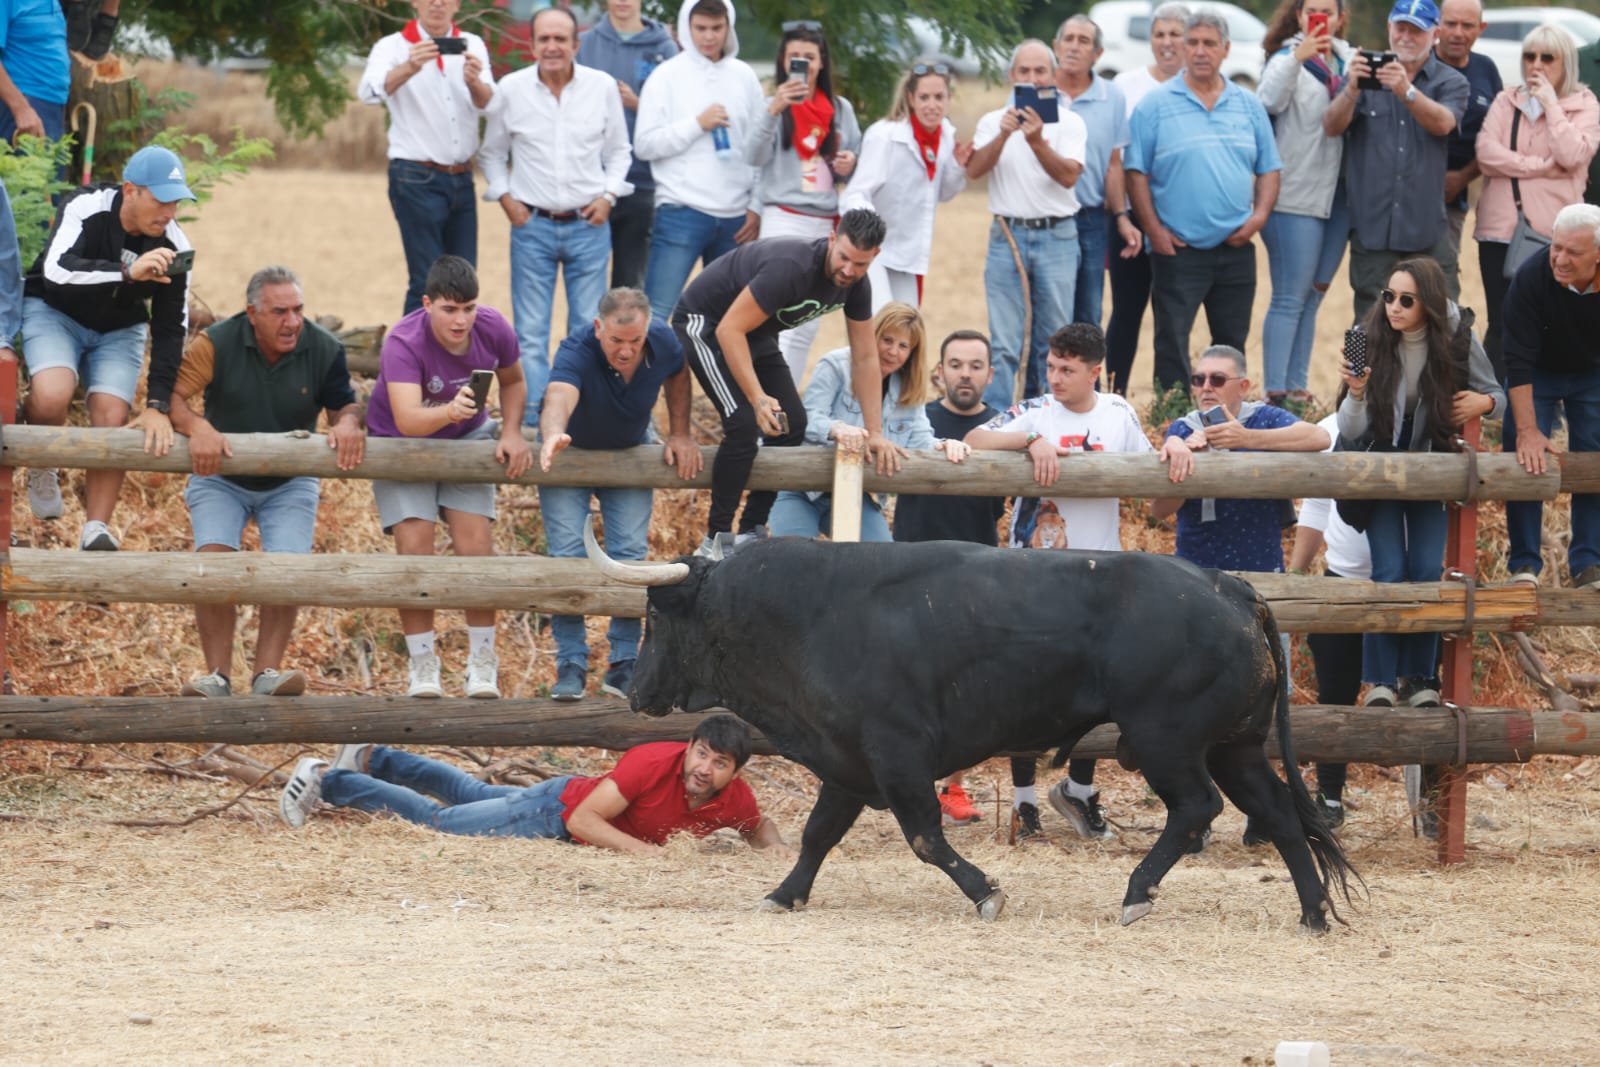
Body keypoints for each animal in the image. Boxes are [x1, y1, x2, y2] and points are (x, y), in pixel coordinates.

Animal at [588, 531, 1363, 927]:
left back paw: (1138, 891)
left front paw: (986, 889)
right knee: (1280, 816)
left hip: (1170, 741)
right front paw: (784, 893)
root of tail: (1229, 585)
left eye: (655, 613)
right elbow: (818, 834)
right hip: (1235, 746)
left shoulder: (897, 754)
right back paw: (1313, 912)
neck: (813, 610)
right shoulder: (848, 760)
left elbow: (925, 837)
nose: (634, 688)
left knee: (1196, 809)